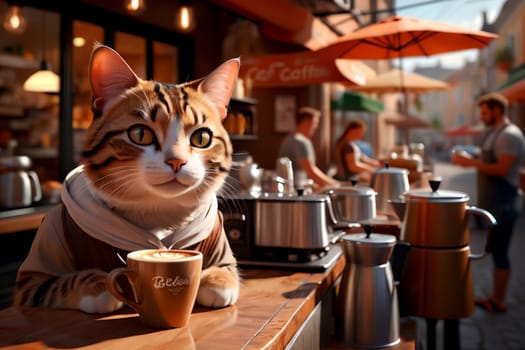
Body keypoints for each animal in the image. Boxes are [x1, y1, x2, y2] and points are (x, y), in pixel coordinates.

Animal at [13, 44, 241, 314]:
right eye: (140, 134)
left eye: (201, 138)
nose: (177, 161)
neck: (158, 212)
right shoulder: (31, 279)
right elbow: (57, 284)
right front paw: (98, 287)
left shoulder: (221, 243)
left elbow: (228, 268)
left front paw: (216, 280)